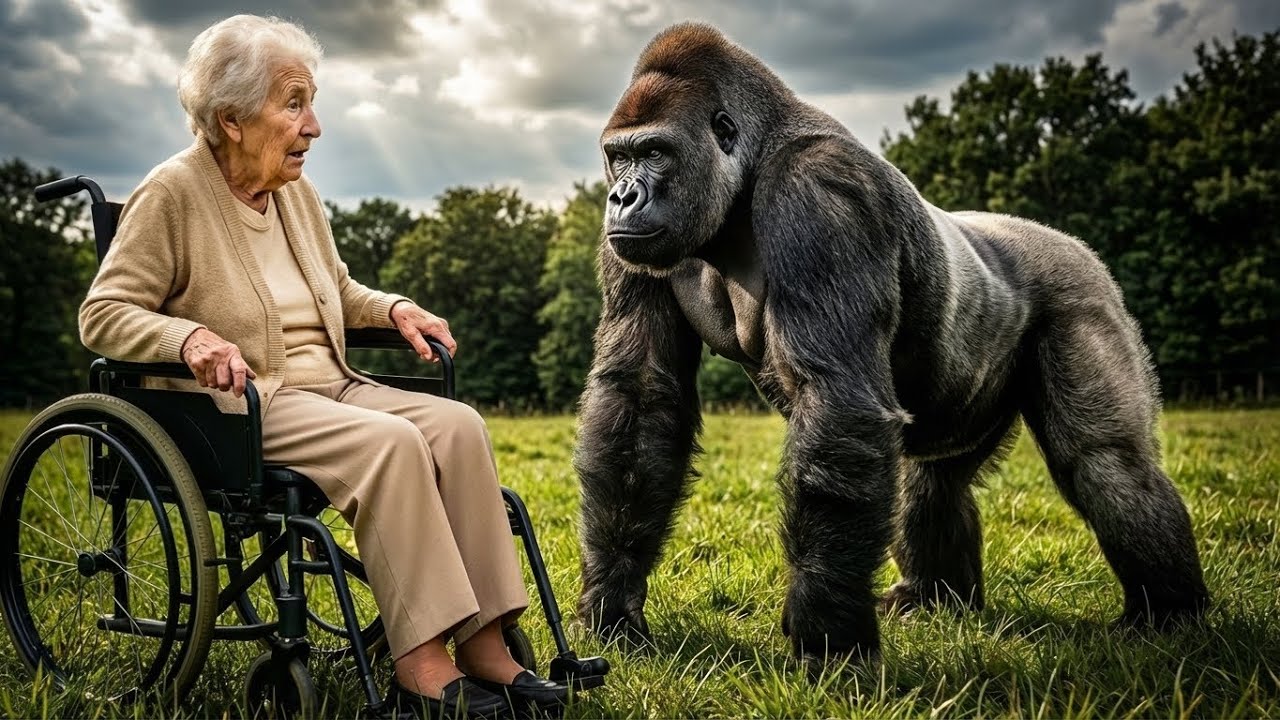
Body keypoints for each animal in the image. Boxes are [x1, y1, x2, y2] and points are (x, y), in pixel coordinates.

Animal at [574, 22, 1209, 662]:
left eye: (655, 152)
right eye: (619, 156)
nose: (622, 196)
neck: (747, 172)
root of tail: (1069, 241)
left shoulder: (821, 196)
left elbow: (838, 401)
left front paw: (825, 633)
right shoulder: (629, 245)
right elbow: (641, 396)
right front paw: (614, 603)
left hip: (1082, 290)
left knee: (1104, 461)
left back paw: (1172, 612)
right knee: (934, 479)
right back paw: (934, 594)